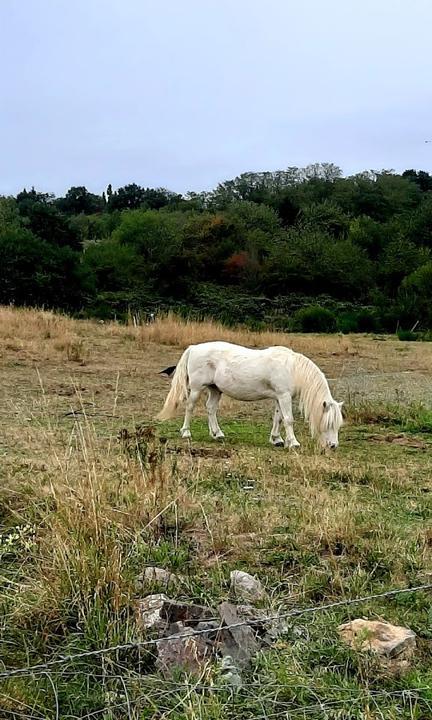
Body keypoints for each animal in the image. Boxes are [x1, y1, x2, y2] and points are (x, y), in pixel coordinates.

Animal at [157, 340, 342, 448]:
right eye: (328, 423)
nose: (333, 445)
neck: (292, 368)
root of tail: (194, 348)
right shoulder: (284, 396)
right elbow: (289, 419)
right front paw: (294, 443)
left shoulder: (279, 397)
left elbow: (278, 418)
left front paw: (277, 439)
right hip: (196, 388)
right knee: (190, 406)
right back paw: (186, 432)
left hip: (215, 389)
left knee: (210, 409)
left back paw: (217, 434)